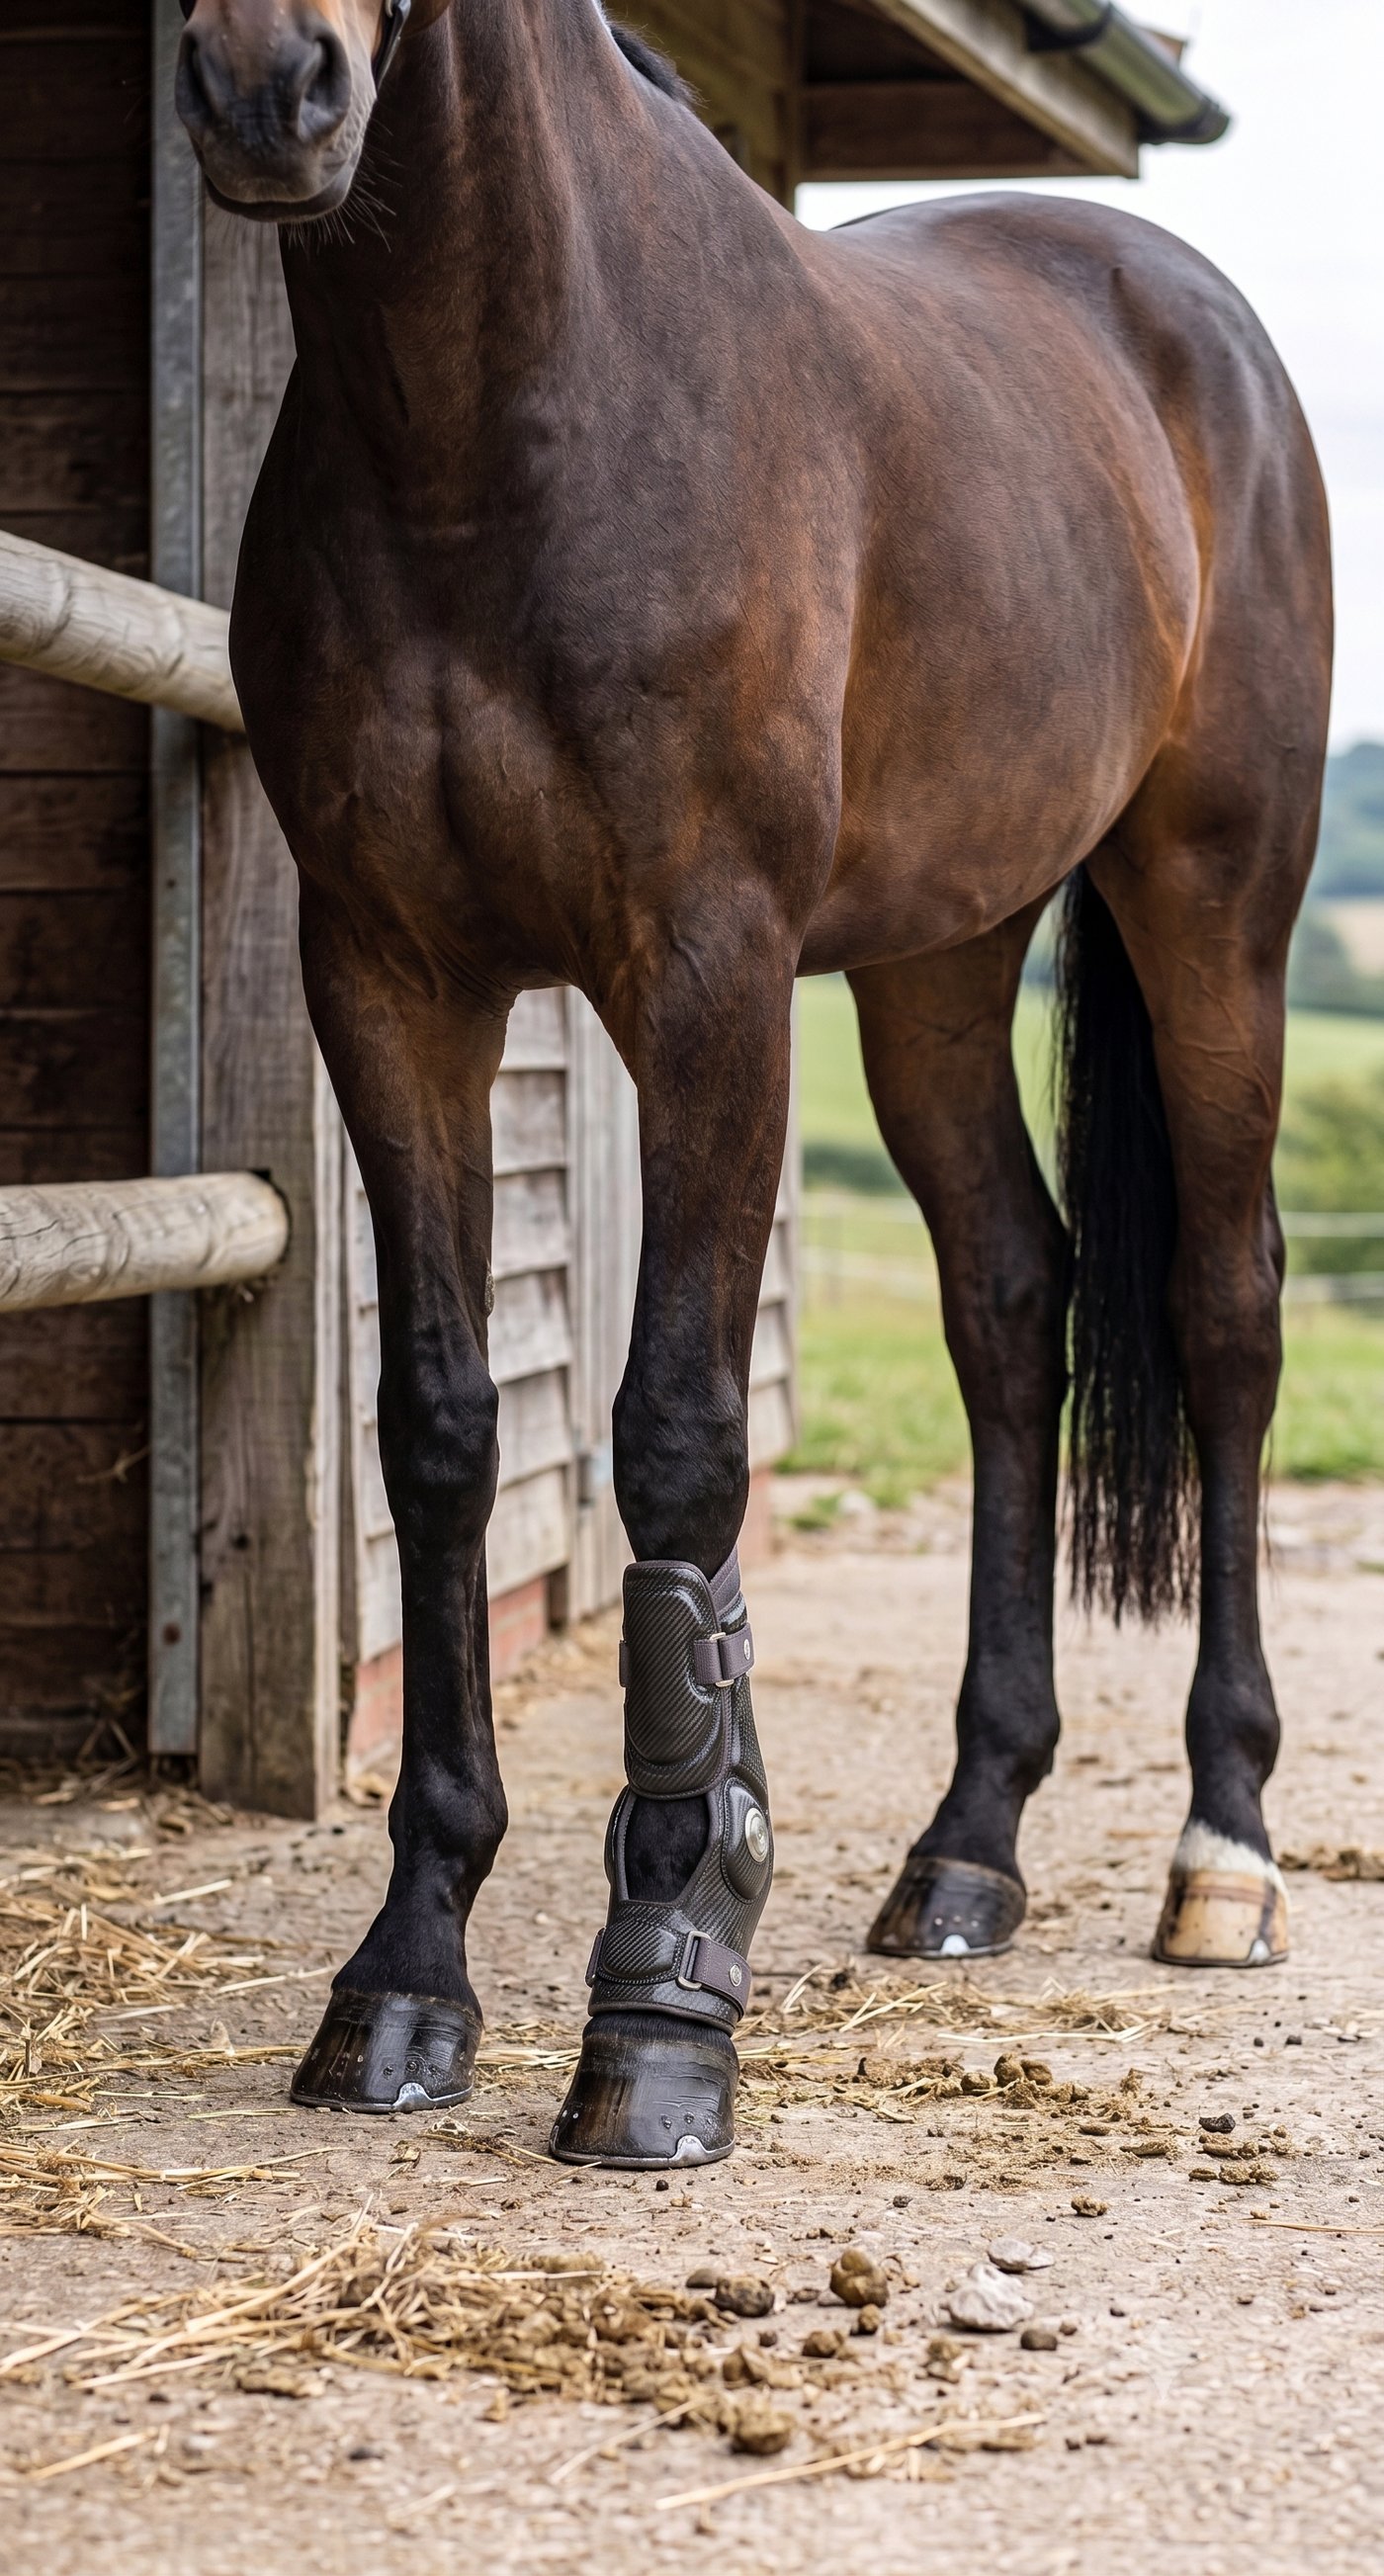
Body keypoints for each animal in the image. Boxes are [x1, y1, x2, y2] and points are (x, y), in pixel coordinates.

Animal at [173, 0, 1333, 2168]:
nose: (271, 91)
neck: (496, 425)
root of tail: (1183, 311)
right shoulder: (385, 977)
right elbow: (441, 1434)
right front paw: (406, 1974)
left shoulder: (705, 975)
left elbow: (679, 1448)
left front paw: (662, 2000)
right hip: (940, 959)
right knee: (1010, 1300)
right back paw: (966, 1852)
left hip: (1211, 900)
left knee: (1224, 1312)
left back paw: (1221, 1854)